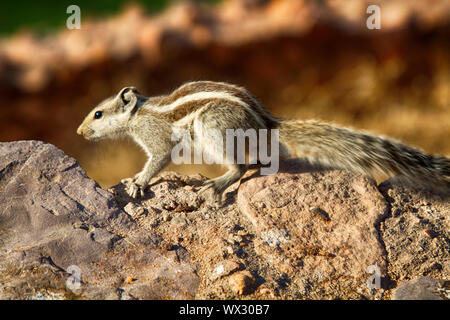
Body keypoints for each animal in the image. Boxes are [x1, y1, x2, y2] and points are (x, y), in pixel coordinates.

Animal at [75, 80, 448, 200]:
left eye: (97, 114)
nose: (78, 132)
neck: (139, 112)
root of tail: (269, 124)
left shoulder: (157, 139)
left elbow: (158, 160)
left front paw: (137, 182)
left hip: (214, 130)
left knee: (239, 168)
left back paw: (216, 184)